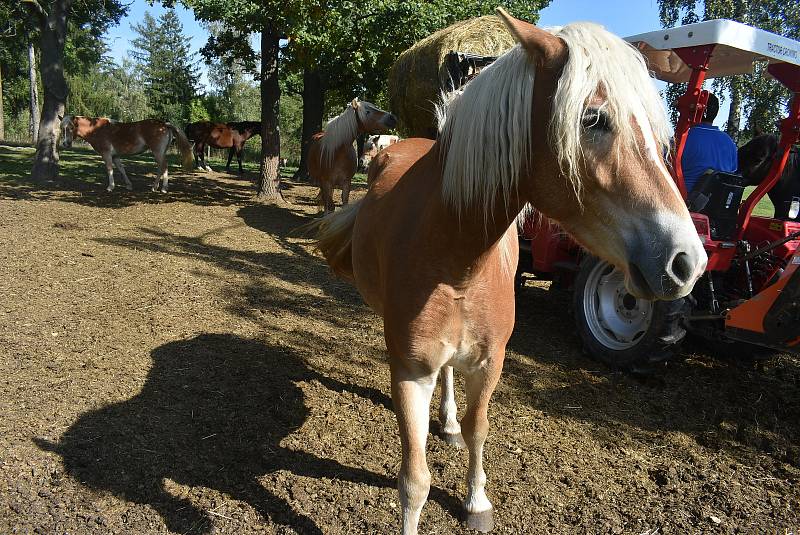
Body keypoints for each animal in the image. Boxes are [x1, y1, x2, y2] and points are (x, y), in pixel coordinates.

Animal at [60, 116, 193, 194]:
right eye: (62, 128)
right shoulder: (115, 156)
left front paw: (110, 187)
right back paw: (155, 187)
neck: (96, 129)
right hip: (160, 153)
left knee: (164, 166)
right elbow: (121, 169)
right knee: (161, 168)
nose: (65, 143)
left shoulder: (106, 154)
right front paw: (129, 185)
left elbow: (109, 169)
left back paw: (164, 188)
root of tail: (164, 124)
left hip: (158, 152)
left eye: (71, 127)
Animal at [306, 9, 708, 535]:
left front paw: (476, 499)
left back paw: (447, 421)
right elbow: (414, 481)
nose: (688, 260)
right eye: (593, 119)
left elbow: (478, 430)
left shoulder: (490, 360)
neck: (455, 258)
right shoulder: (412, 372)